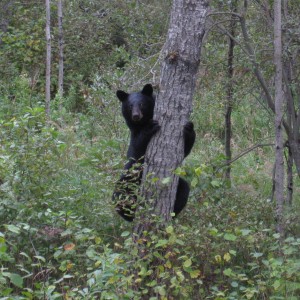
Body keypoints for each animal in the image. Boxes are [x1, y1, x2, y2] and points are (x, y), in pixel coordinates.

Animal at [112, 84, 195, 220]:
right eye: (130, 106)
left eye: (141, 104)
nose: (136, 115)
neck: (142, 123)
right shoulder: (135, 138)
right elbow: (138, 147)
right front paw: (150, 127)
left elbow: (185, 151)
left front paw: (189, 128)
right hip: (129, 178)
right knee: (120, 194)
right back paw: (131, 210)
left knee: (184, 189)